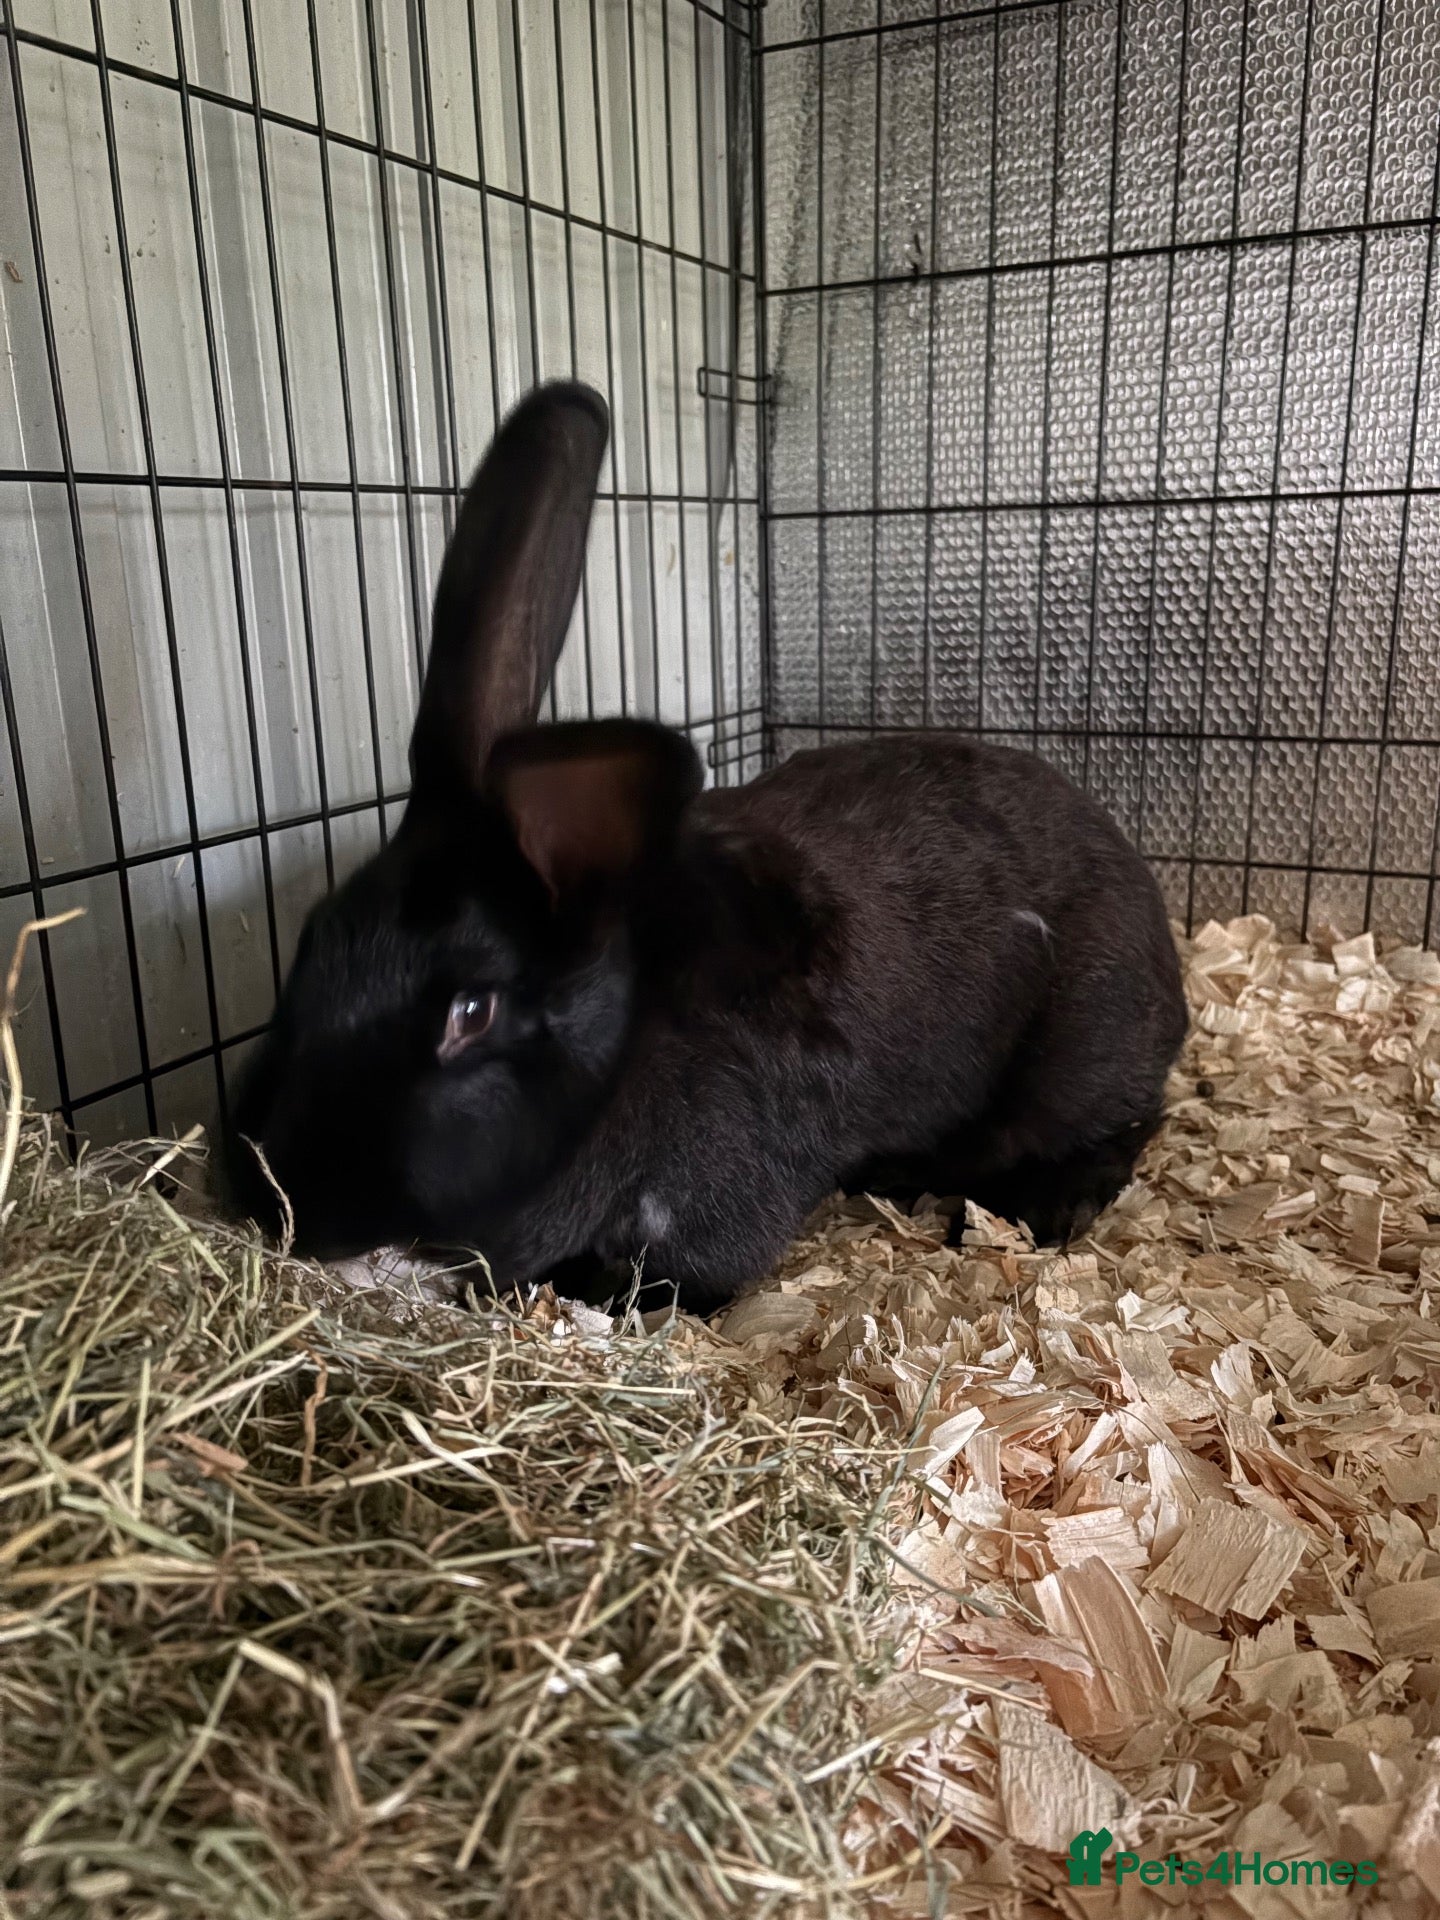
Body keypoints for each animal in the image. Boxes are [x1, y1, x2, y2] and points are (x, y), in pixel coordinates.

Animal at [223, 379, 1188, 1315]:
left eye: (472, 1012)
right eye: (310, 939)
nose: (265, 1193)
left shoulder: (714, 1196)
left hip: (1083, 1050)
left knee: (1120, 1125)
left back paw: (1037, 1206)